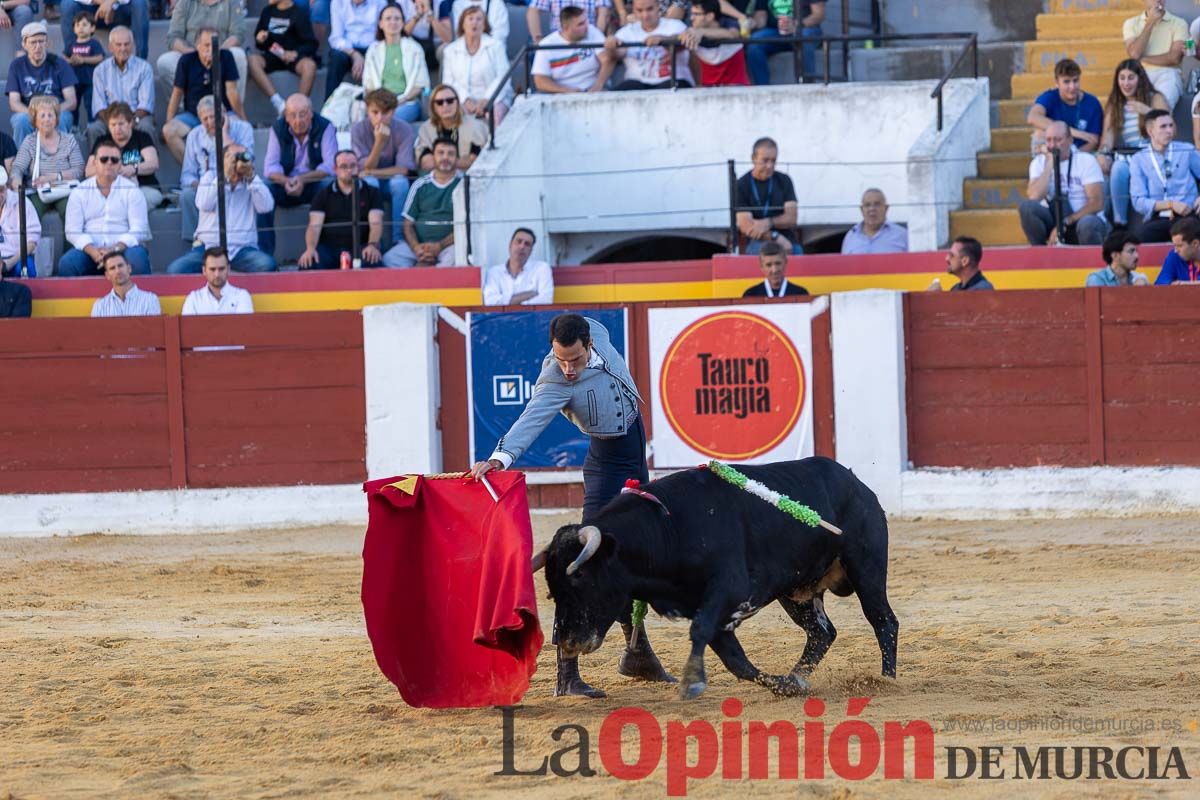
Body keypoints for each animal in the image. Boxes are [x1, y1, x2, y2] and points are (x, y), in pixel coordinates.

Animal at [540, 455, 897, 700]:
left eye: (580, 576)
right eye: (553, 590)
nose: (568, 641)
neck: (669, 525)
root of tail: (857, 484)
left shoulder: (729, 590)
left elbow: (701, 633)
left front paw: (692, 682)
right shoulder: (714, 610)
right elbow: (736, 661)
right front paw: (785, 686)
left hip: (865, 566)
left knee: (882, 619)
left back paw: (887, 679)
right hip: (798, 591)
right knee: (822, 633)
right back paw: (797, 677)